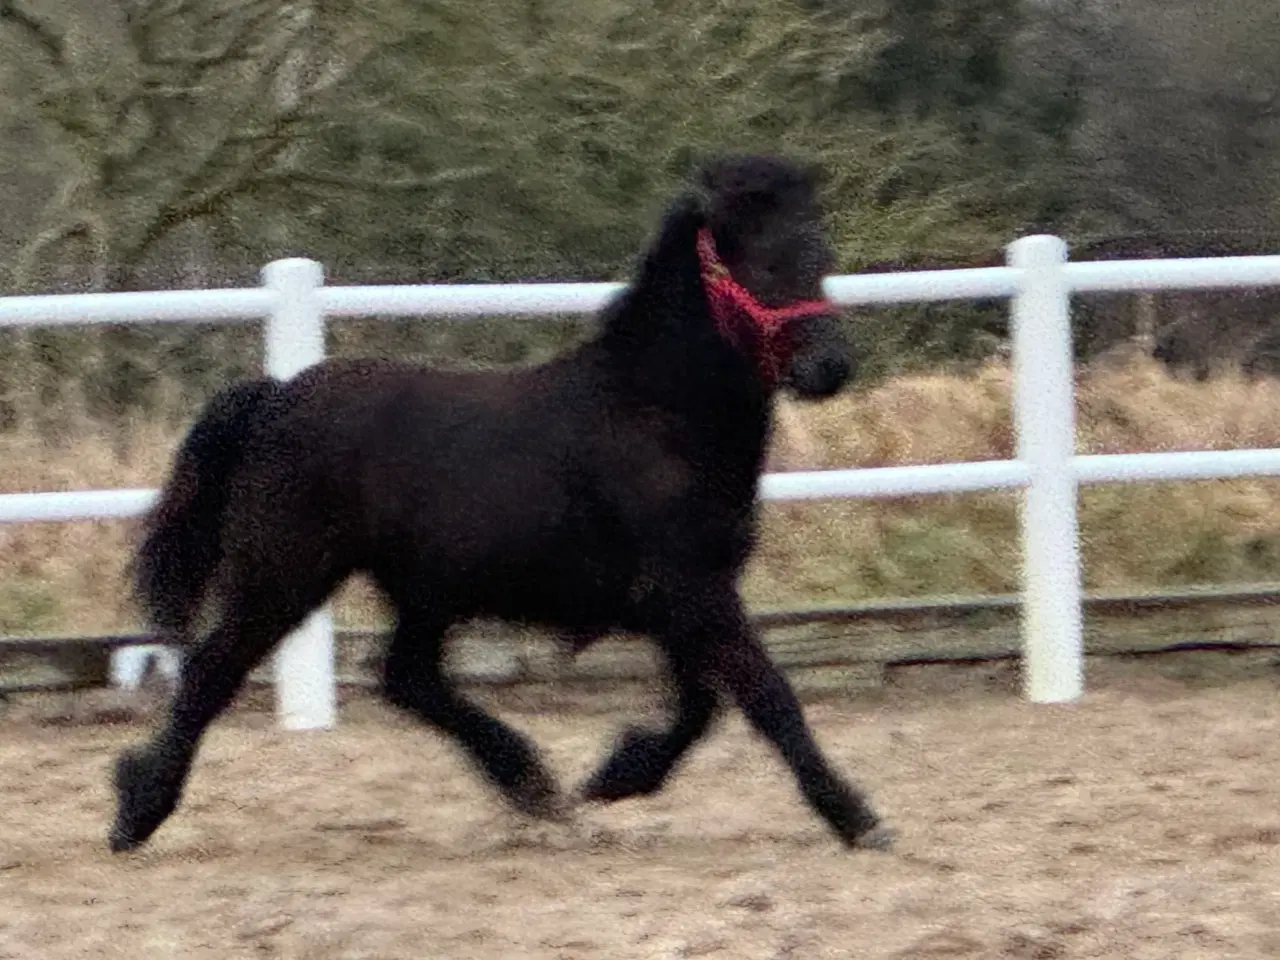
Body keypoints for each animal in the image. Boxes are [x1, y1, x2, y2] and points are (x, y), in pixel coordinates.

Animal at [107, 154, 890, 855]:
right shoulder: (691, 590)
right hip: (284, 574)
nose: (830, 368)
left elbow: (703, 706)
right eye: (761, 264)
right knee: (213, 672)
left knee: (409, 679)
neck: (656, 412)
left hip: (421, 591)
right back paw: (137, 811)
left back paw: (531, 784)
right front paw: (856, 817)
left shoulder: (684, 597)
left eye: (819, 255)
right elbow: (766, 695)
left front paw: (617, 774)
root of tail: (275, 396)